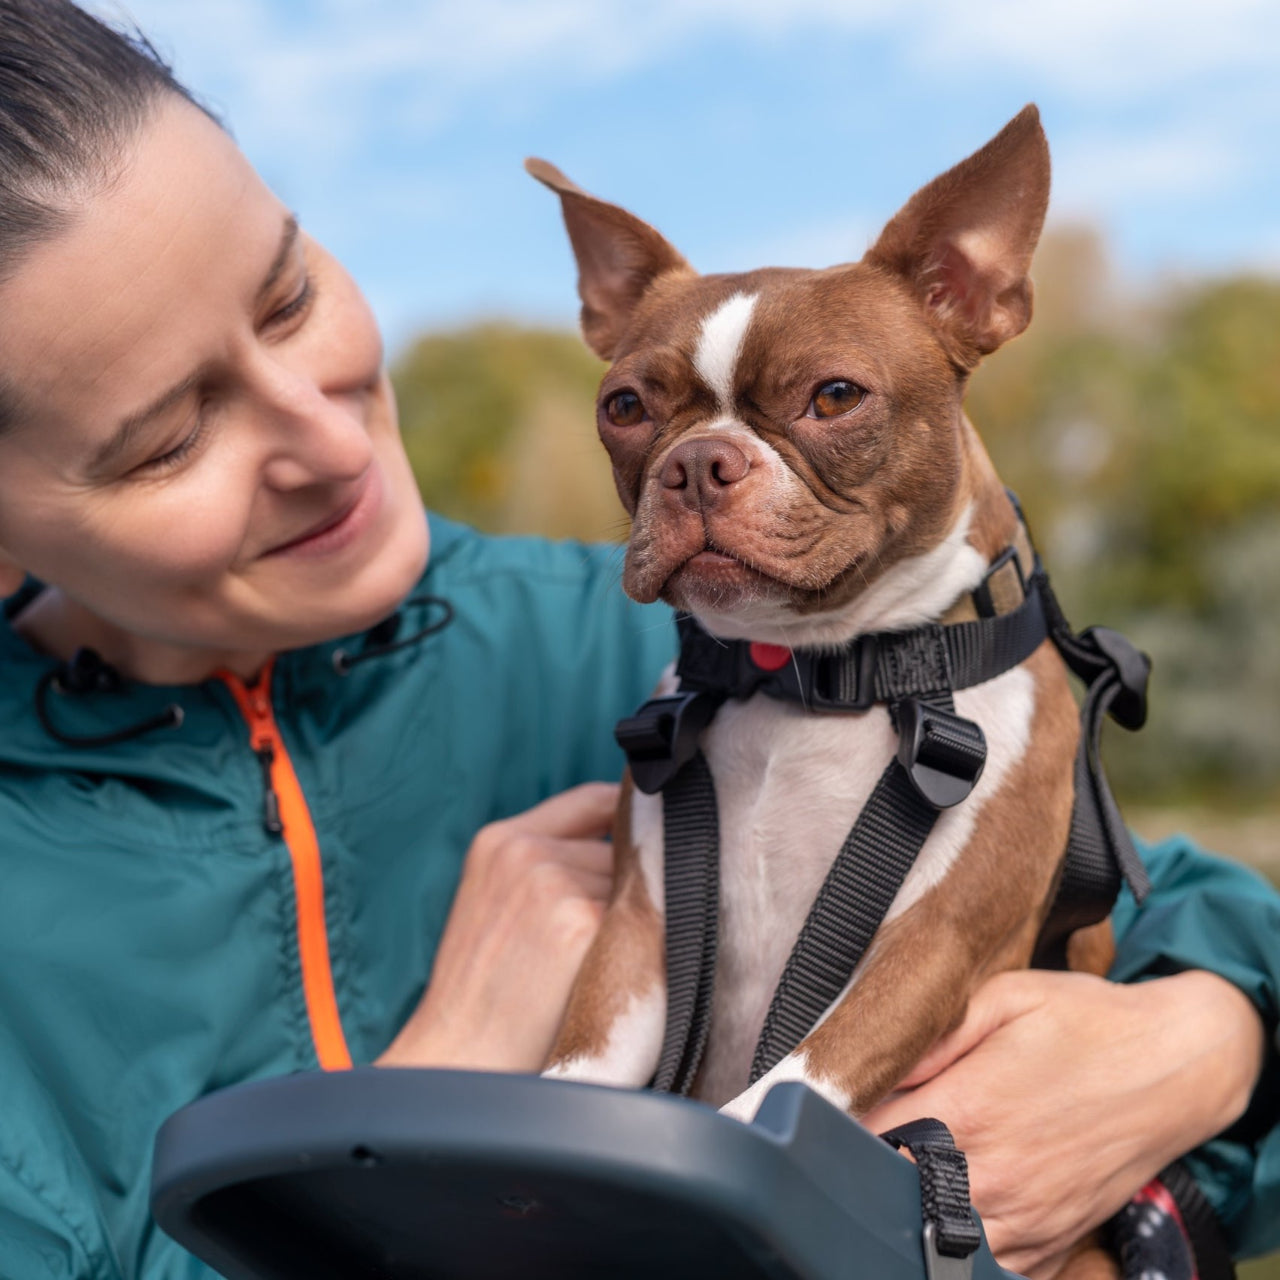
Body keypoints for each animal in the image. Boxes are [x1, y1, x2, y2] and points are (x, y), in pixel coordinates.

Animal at [524, 102, 1116, 1280]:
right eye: (624, 406)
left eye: (833, 396)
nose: (697, 461)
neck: (812, 677)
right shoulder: (641, 923)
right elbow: (582, 1060)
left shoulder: (934, 940)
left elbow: (785, 1090)